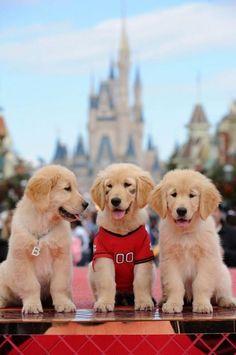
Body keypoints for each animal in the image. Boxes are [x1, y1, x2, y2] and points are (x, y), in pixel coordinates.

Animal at [0, 165, 88, 314]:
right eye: (67, 188)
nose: (86, 204)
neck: (44, 222)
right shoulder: (22, 259)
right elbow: (31, 285)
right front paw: (32, 305)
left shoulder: (62, 258)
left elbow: (59, 285)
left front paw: (63, 303)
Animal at [88, 164, 155, 312]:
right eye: (109, 186)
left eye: (127, 184)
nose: (115, 201)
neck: (122, 225)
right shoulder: (102, 254)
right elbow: (106, 281)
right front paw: (104, 303)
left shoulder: (143, 254)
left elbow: (141, 281)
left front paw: (144, 302)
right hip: (91, 267)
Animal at [149, 170, 236, 314]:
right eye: (174, 194)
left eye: (192, 195)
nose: (181, 210)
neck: (186, 232)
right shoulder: (170, 260)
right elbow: (175, 284)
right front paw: (173, 303)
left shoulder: (206, 259)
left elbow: (201, 283)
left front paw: (202, 304)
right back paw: (163, 300)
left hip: (223, 273)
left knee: (221, 293)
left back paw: (228, 301)